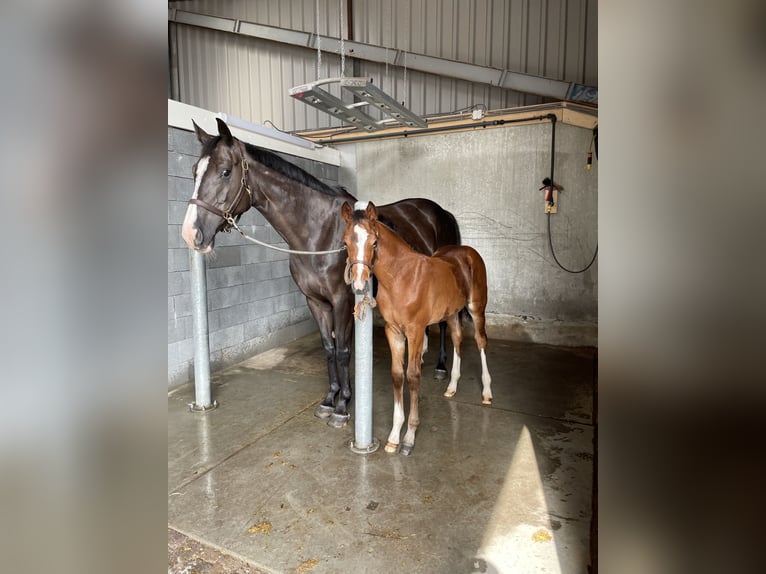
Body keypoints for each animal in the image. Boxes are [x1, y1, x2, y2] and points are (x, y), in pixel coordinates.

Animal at [182, 119, 460, 430]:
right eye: (194, 171)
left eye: (225, 171)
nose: (191, 233)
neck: (320, 233)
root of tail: (440, 212)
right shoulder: (314, 301)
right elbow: (329, 348)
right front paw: (330, 400)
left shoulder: (342, 301)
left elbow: (343, 351)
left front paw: (343, 406)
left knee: (446, 323)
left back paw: (440, 367)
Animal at [340, 200, 492, 456]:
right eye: (345, 242)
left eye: (374, 242)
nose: (360, 284)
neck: (401, 278)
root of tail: (468, 252)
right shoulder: (393, 331)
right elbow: (397, 375)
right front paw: (393, 436)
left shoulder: (416, 331)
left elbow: (412, 376)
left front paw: (409, 438)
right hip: (451, 313)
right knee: (458, 339)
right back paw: (452, 386)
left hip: (476, 307)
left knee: (481, 341)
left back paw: (487, 392)